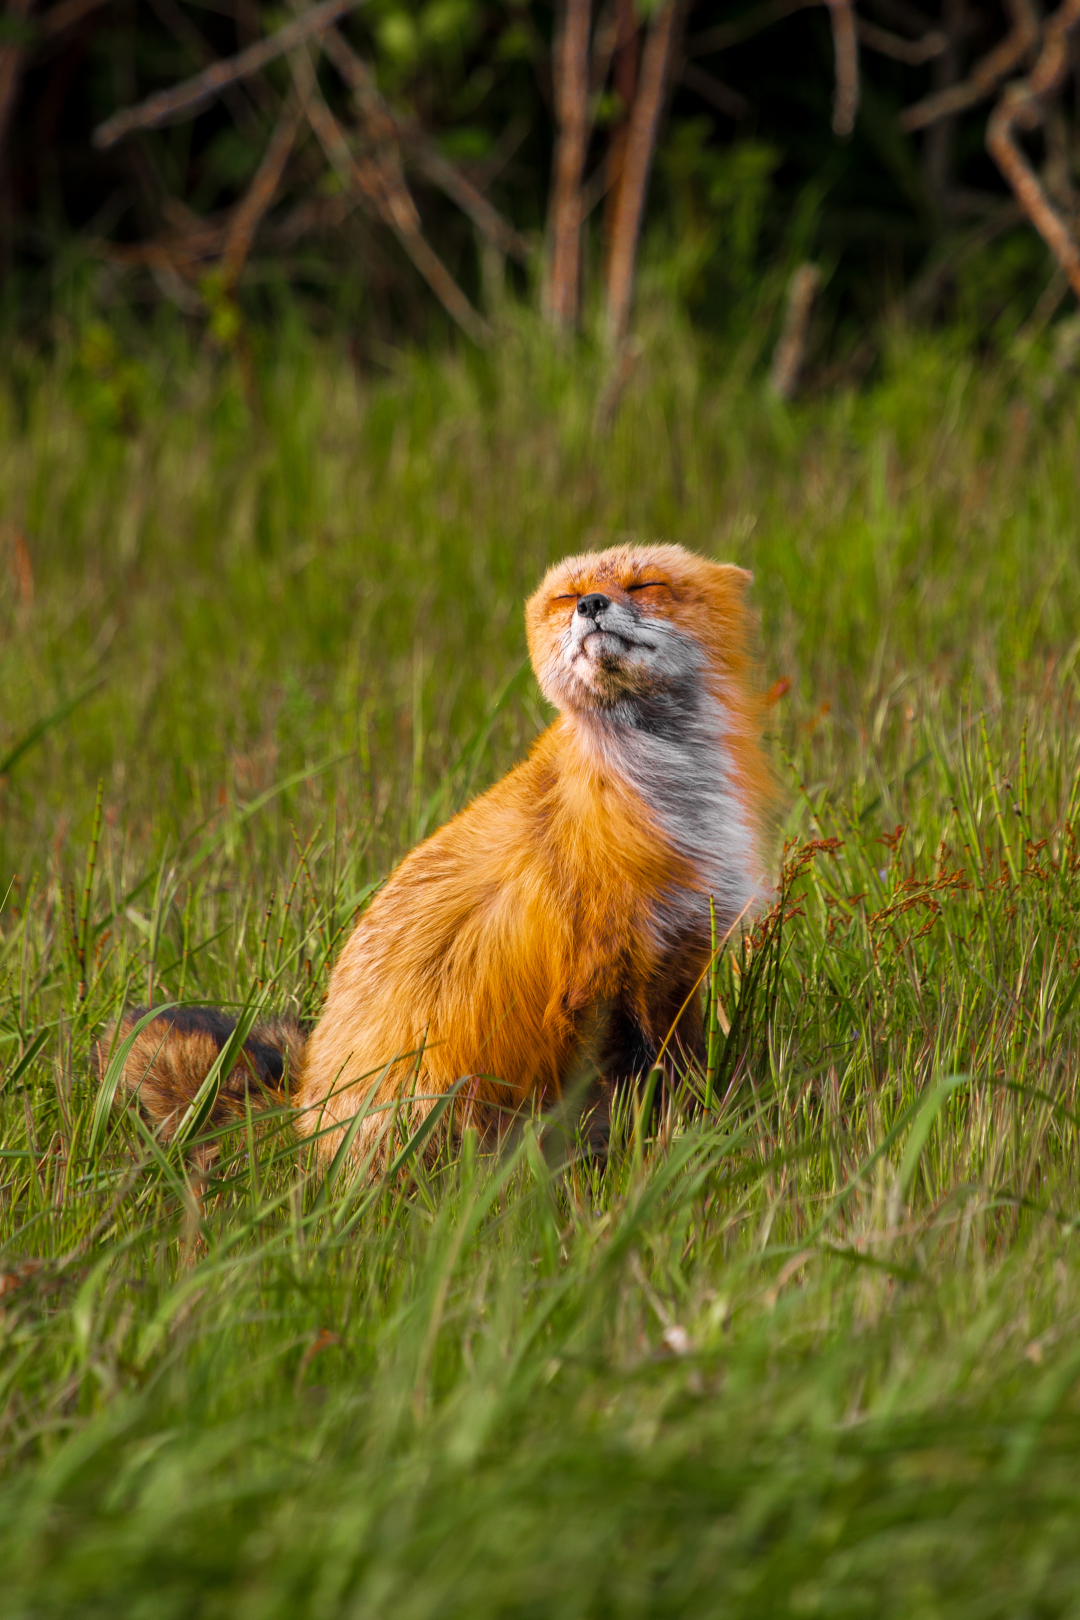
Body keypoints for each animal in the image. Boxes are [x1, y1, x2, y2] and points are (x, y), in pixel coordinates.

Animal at [103, 544, 777, 1166]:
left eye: (645, 584)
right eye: (566, 597)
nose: (590, 606)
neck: (665, 796)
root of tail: (302, 1113)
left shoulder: (678, 961)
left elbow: (684, 1076)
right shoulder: (597, 976)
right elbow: (638, 1092)